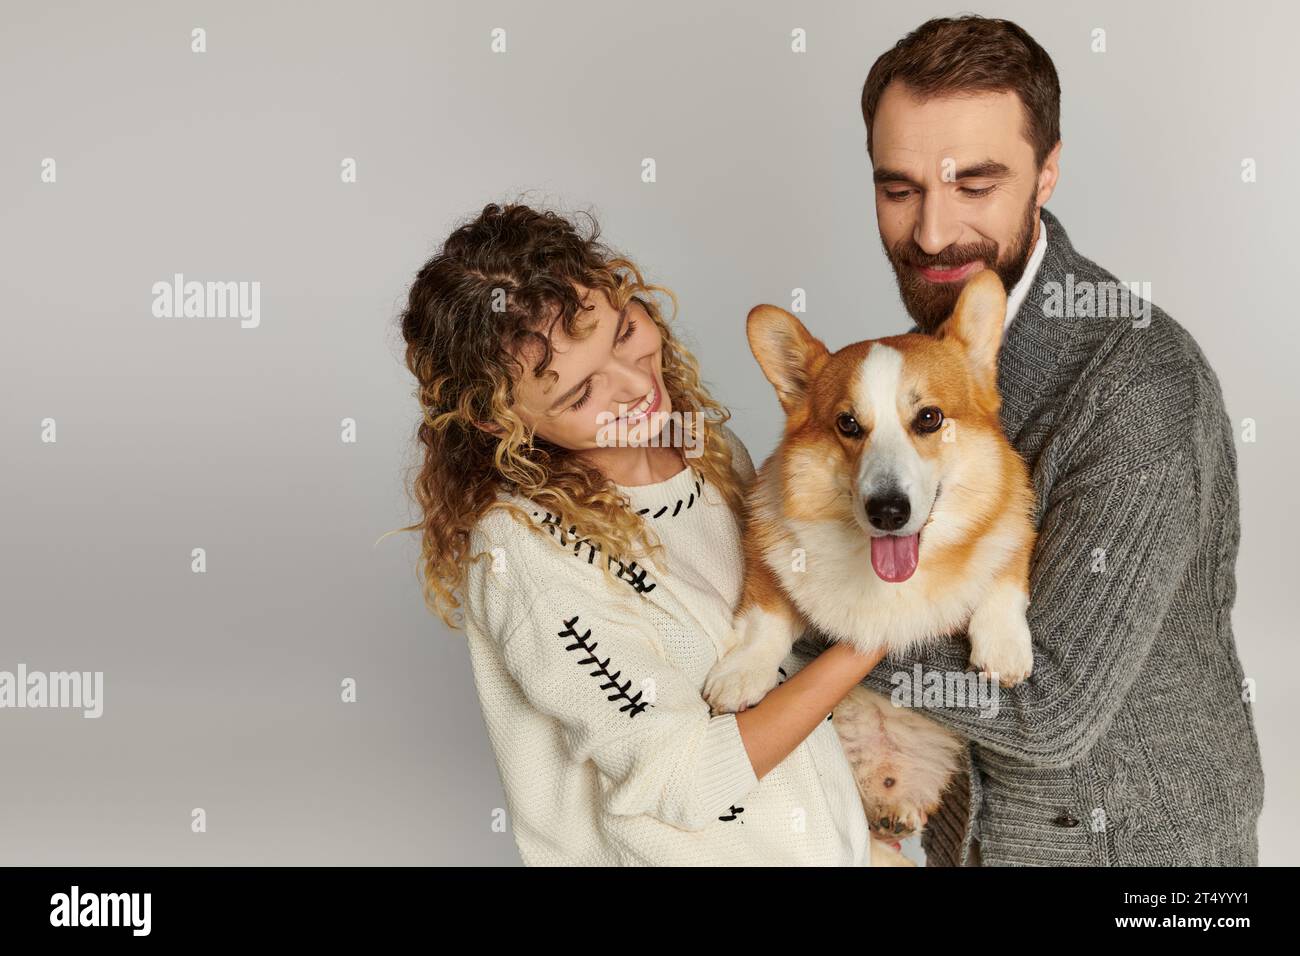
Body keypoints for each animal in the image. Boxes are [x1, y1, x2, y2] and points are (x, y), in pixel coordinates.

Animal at [702, 269, 1034, 868]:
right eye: (848, 424)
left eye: (929, 418)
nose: (887, 511)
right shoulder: (768, 545)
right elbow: (767, 615)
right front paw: (742, 674)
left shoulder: (1015, 518)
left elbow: (1002, 573)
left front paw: (1003, 648)